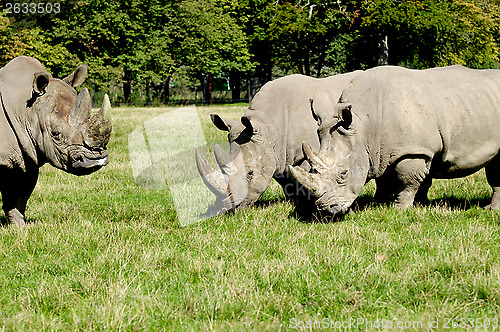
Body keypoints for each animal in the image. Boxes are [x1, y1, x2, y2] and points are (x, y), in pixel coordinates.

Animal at [0, 55, 111, 226]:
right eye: (56, 134)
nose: (95, 160)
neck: (25, 110)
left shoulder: (27, 153)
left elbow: (18, 196)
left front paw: (19, 227)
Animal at [195, 71, 360, 214]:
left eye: (250, 173)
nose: (228, 209)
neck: (268, 127)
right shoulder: (278, 154)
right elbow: (286, 181)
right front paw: (293, 201)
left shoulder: (309, 152)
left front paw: (307, 204)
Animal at [290, 64, 500, 217]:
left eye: (343, 173)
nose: (325, 210)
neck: (364, 124)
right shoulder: (377, 150)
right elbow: (383, 180)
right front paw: (378, 203)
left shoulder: (414, 151)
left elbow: (407, 180)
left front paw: (400, 209)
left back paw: (491, 210)